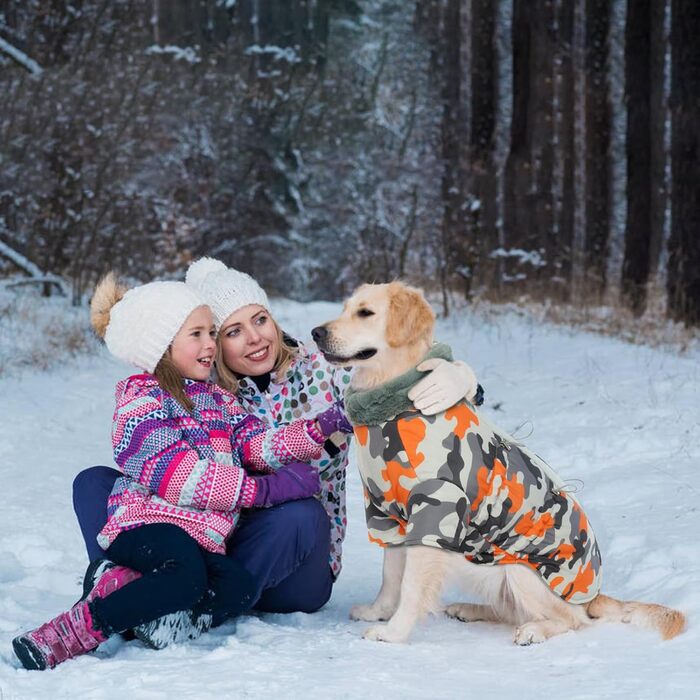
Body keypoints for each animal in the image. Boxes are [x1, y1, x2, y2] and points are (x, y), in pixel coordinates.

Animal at [310, 282, 684, 644]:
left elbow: (411, 586)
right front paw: (379, 611)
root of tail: (593, 595)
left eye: (365, 313)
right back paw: (469, 609)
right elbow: (390, 573)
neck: (395, 403)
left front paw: (393, 632)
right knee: (509, 610)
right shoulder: (385, 512)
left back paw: (534, 631)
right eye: (345, 308)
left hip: (520, 570)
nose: (315, 332)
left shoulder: (436, 511)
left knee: (572, 620)